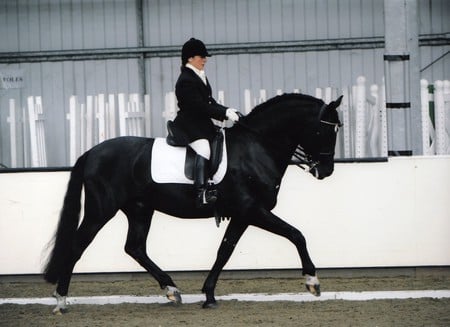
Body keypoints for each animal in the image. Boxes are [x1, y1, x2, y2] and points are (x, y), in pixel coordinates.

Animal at [44, 93, 342, 314]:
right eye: (324, 130)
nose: (326, 170)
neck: (256, 148)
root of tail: (91, 152)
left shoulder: (243, 215)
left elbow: (225, 251)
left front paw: (209, 295)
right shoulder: (252, 209)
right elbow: (296, 234)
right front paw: (312, 281)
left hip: (140, 209)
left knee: (135, 247)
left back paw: (172, 290)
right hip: (101, 210)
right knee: (77, 246)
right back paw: (61, 301)